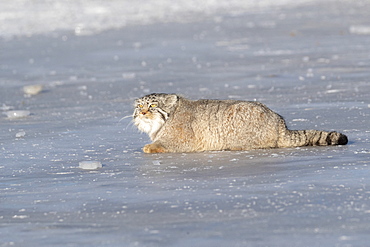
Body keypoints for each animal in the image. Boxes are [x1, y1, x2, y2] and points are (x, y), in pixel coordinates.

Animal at [133, 93, 346, 153]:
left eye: (153, 105)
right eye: (139, 106)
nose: (142, 113)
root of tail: (280, 124)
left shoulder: (182, 137)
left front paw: (151, 147)